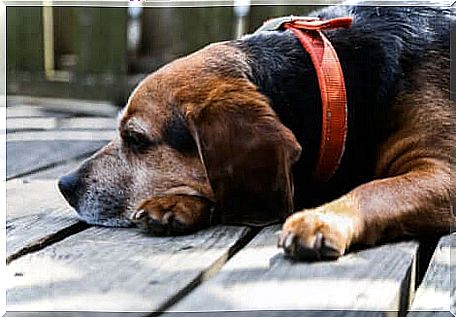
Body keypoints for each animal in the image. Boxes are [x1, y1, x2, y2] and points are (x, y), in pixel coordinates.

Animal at [58, 4, 456, 260]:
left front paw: (322, 219)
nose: (64, 185)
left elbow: (375, 189)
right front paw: (175, 203)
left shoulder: (443, 172)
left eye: (137, 139)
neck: (336, 78)